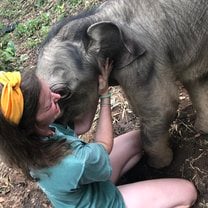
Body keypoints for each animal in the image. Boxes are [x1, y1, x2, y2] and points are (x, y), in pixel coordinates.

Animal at [36, 0, 208, 169]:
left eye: (62, 92)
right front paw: (203, 129)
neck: (95, 18)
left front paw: (158, 165)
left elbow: (162, 108)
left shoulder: (144, 60)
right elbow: (194, 80)